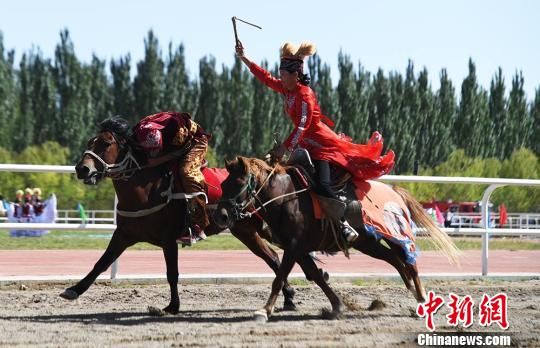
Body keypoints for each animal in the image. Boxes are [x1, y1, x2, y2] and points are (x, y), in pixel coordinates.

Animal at [60, 118, 300, 314]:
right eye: (90, 141)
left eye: (106, 143)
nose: (82, 169)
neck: (146, 190)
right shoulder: (124, 234)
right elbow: (101, 262)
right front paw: (73, 290)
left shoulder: (168, 239)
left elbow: (172, 273)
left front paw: (172, 306)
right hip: (245, 230)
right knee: (272, 256)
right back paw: (288, 297)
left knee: (276, 256)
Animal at [215, 157, 460, 320]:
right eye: (223, 184)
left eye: (238, 183)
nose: (221, 215)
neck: (286, 198)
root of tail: (395, 191)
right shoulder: (298, 248)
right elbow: (316, 275)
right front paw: (336, 305)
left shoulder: (293, 247)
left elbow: (280, 277)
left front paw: (264, 310)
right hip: (368, 243)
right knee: (396, 261)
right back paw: (411, 291)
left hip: (395, 236)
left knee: (411, 263)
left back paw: (421, 300)